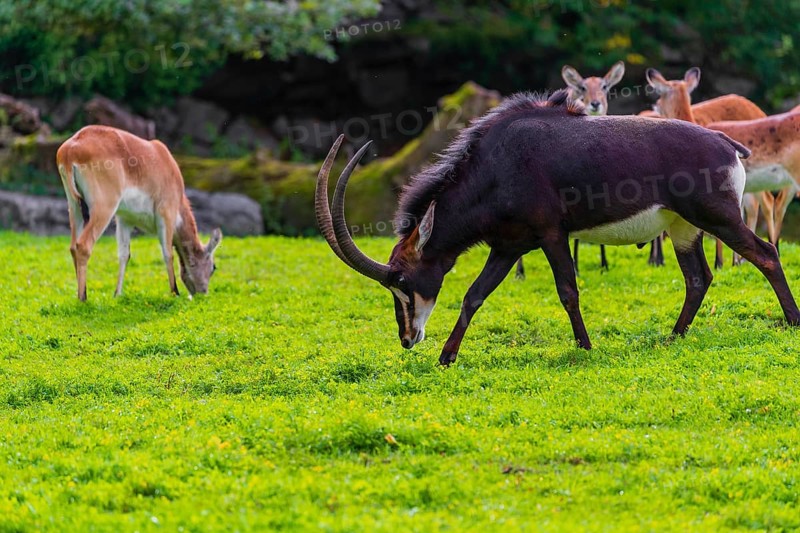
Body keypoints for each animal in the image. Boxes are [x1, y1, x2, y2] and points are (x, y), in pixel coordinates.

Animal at [57, 125, 222, 301]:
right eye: (213, 267)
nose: (202, 293)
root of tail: (71, 148)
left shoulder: (124, 220)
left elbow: (124, 254)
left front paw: (117, 294)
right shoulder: (166, 214)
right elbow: (167, 253)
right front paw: (174, 292)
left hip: (74, 207)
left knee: (73, 247)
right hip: (103, 208)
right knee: (83, 245)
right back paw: (83, 298)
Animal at [316, 91, 799, 365]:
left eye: (401, 280)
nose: (406, 338)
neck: (495, 165)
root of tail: (726, 144)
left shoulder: (552, 235)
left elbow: (567, 290)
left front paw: (585, 348)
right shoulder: (508, 247)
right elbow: (474, 295)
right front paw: (446, 357)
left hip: (717, 216)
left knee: (765, 254)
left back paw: (792, 321)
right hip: (683, 228)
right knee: (698, 278)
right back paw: (672, 338)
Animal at [516, 61, 625, 278]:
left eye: (605, 86)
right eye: (582, 87)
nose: (595, 103)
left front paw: (604, 265)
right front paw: (576, 267)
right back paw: (520, 273)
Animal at [645, 67, 779, 268]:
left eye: (660, 96)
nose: (655, 106)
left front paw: (719, 262)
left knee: (767, 202)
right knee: (754, 207)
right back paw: (740, 260)